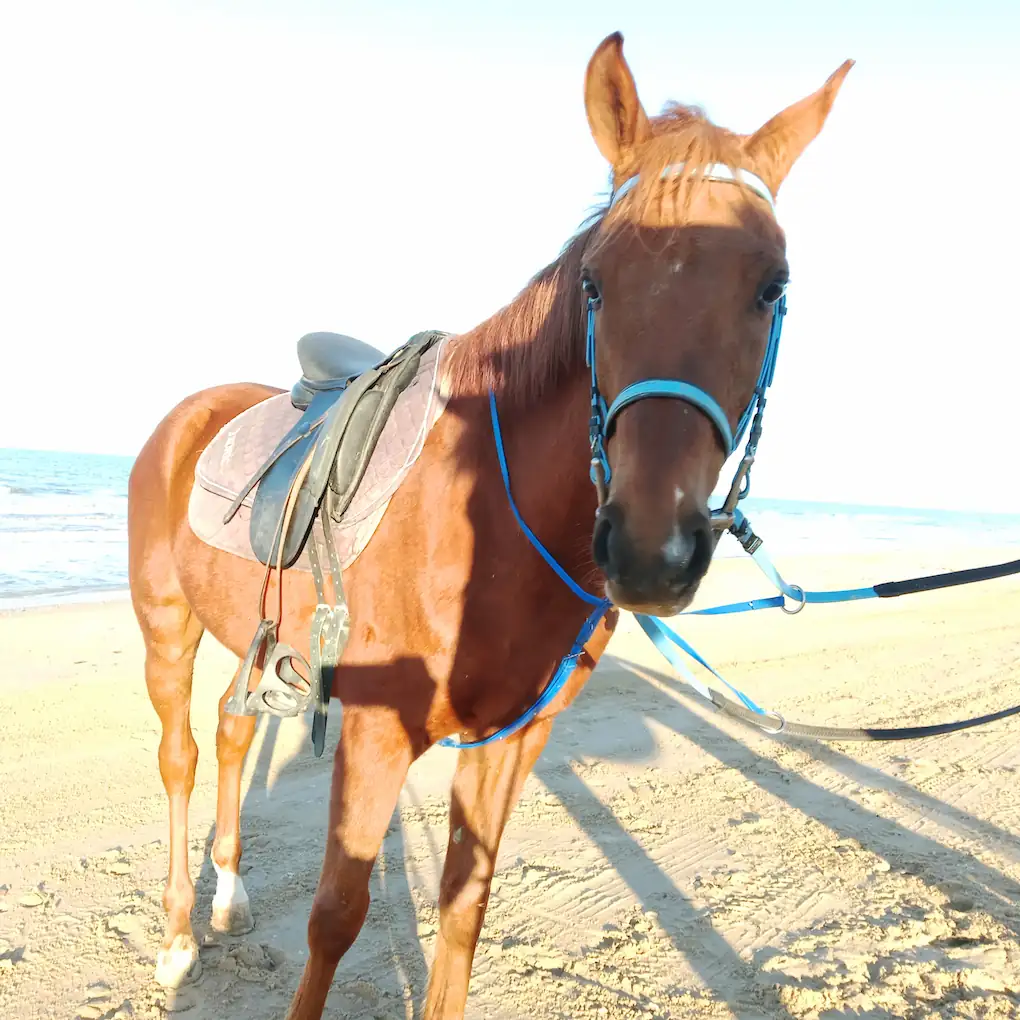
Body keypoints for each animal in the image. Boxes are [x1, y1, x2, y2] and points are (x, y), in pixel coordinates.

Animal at [127, 31, 852, 1019]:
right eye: (594, 281)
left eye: (772, 287)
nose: (649, 549)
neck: (496, 530)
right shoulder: (378, 734)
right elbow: (335, 915)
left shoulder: (513, 739)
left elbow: (465, 906)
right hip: (167, 628)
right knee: (181, 756)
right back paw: (176, 941)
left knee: (235, 734)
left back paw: (231, 897)